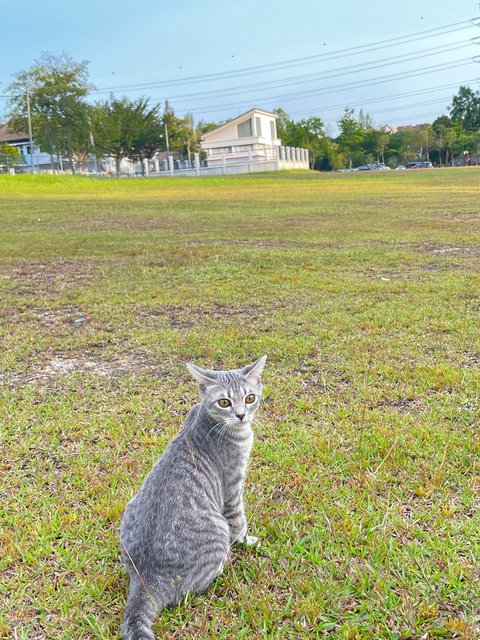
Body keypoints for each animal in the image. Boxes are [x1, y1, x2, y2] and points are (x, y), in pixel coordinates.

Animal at [117, 358, 264, 636]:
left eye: (250, 398)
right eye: (224, 402)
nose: (241, 415)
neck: (206, 417)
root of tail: (146, 577)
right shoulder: (232, 487)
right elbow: (239, 519)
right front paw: (247, 541)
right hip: (217, 532)